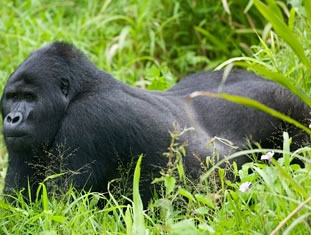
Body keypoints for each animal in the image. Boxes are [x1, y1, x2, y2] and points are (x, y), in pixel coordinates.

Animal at [1, 41, 310, 203]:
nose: (12, 118)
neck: (82, 89)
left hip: (289, 107)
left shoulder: (86, 119)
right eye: (12, 97)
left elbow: (60, 207)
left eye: (29, 97)